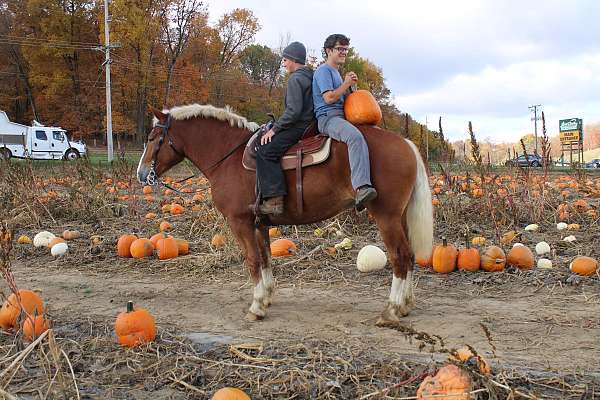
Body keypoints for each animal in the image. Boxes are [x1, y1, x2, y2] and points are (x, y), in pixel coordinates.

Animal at [138, 104, 434, 324]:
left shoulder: (240, 222)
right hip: (400, 217)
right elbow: (265, 258)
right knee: (409, 257)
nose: (141, 174)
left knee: (399, 257)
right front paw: (267, 296)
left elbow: (252, 260)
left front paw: (256, 306)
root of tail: (406, 143)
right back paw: (405, 305)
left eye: (153, 139)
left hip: (386, 217)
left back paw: (392, 309)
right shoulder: (259, 223)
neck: (229, 156)